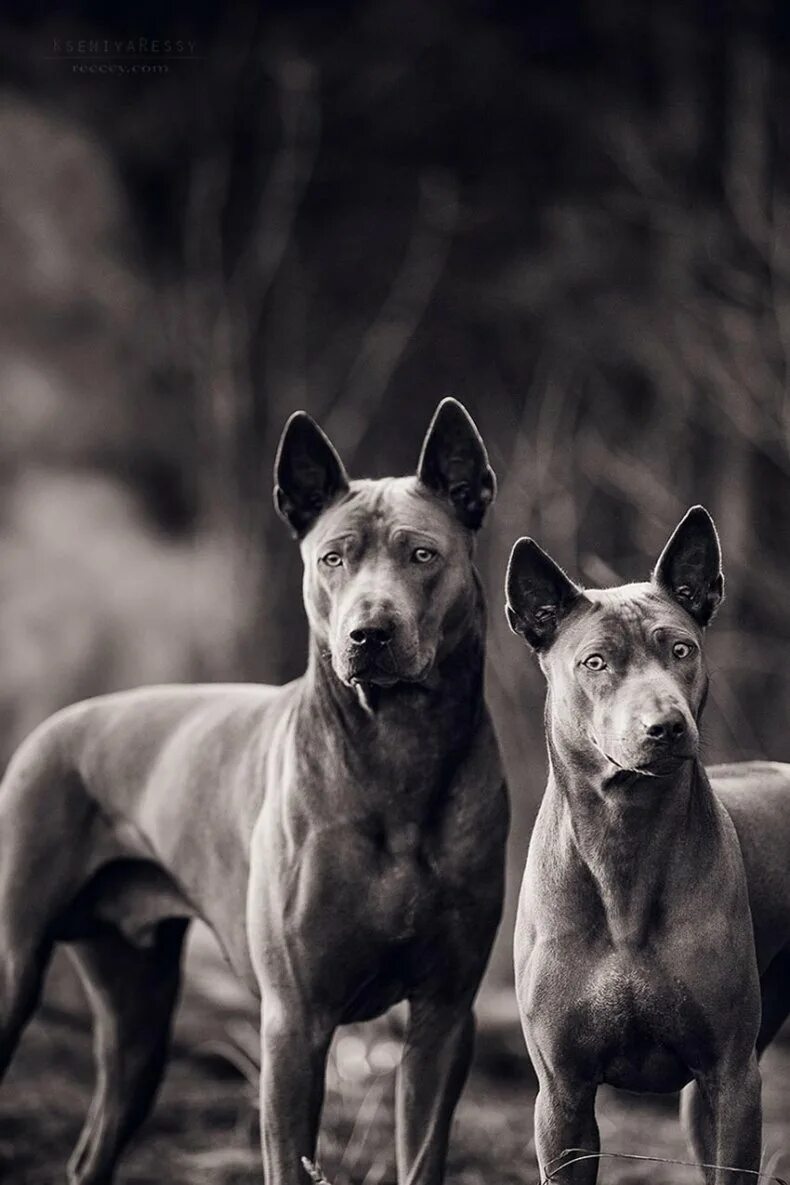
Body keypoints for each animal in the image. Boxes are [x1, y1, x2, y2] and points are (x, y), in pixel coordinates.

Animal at [0, 400, 506, 1185]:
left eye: (423, 554)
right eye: (333, 558)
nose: (369, 633)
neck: (398, 750)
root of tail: (48, 728)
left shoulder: (445, 1014)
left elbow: (422, 1152)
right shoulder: (294, 1021)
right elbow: (289, 1157)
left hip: (138, 1006)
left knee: (95, 1145)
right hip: (15, 967)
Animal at [509, 509, 790, 1185]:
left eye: (681, 649)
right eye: (595, 662)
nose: (666, 726)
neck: (625, 841)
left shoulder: (734, 1080)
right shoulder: (562, 1096)